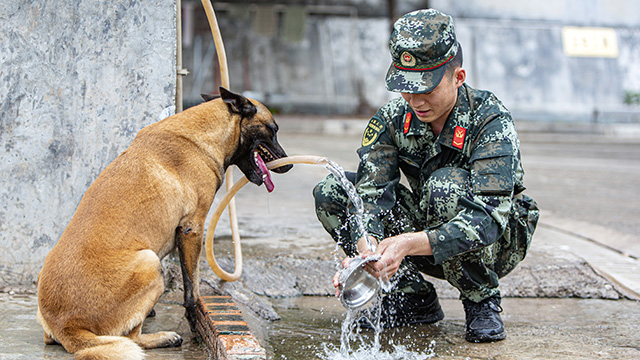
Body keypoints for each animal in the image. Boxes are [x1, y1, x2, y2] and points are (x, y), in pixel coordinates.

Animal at [36, 88, 292, 360]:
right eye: (273, 129)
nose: (288, 164)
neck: (204, 134)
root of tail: (67, 326)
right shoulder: (192, 229)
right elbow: (192, 286)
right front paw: (193, 319)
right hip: (150, 262)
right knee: (131, 338)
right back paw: (163, 337)